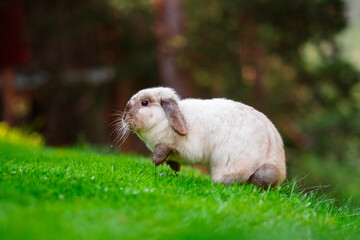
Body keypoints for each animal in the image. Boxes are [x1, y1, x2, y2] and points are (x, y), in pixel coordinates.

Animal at [119, 86, 286, 188]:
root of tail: (275, 169)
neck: (162, 121)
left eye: (144, 103)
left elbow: (165, 148)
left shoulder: (180, 146)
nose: (124, 118)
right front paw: (174, 168)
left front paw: (157, 160)